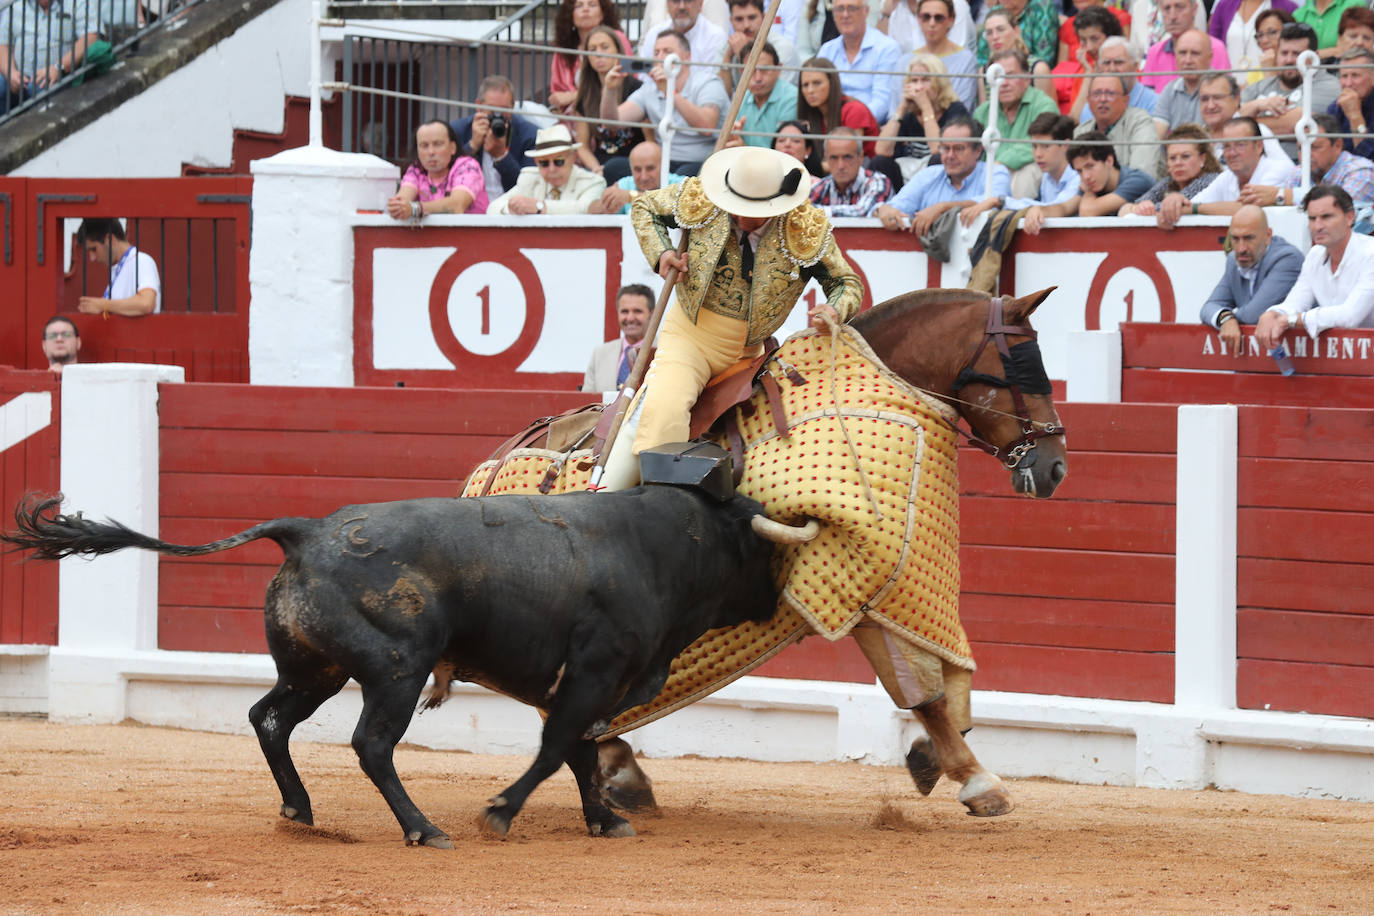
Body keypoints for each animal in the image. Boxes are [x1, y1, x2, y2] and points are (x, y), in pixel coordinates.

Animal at [5, 486, 807, 845]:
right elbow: (558, 750)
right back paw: (423, 828)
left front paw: (605, 820)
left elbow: (580, 753)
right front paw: (500, 812)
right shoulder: (591, 674)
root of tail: (306, 531)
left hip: (317, 670)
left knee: (268, 718)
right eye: (757, 548)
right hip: (396, 667)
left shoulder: (577, 686)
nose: (777, 599)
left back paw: (300, 810)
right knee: (371, 744)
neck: (659, 548)